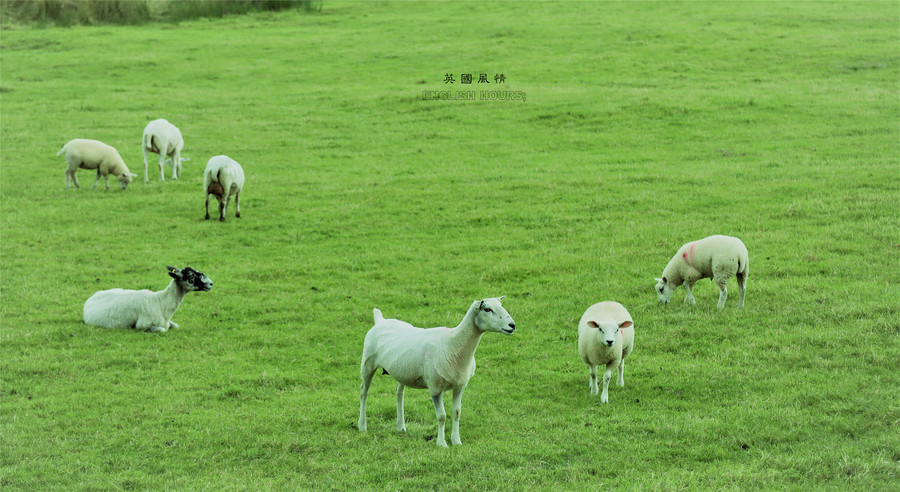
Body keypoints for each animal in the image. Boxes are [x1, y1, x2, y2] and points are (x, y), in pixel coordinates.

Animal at [82, 266, 213, 334]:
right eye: (190, 275)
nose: (211, 283)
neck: (161, 302)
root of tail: (92, 297)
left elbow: (175, 326)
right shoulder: (142, 326)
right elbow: (163, 330)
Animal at [356, 296, 516, 446]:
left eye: (501, 305)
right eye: (487, 309)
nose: (512, 325)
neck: (453, 344)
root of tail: (380, 320)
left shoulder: (460, 386)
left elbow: (456, 413)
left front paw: (456, 441)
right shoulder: (435, 387)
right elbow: (442, 416)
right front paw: (442, 443)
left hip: (403, 371)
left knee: (399, 393)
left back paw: (401, 426)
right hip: (367, 363)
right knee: (364, 392)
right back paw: (362, 426)